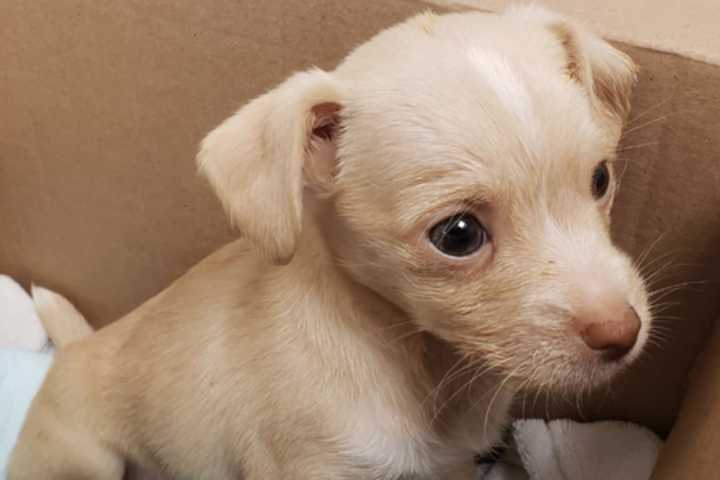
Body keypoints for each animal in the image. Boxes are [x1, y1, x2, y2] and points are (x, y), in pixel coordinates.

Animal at [9, 6, 648, 480]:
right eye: (458, 234)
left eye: (600, 180)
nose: (624, 333)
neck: (420, 364)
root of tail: (72, 350)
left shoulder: (454, 465)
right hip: (85, 459)